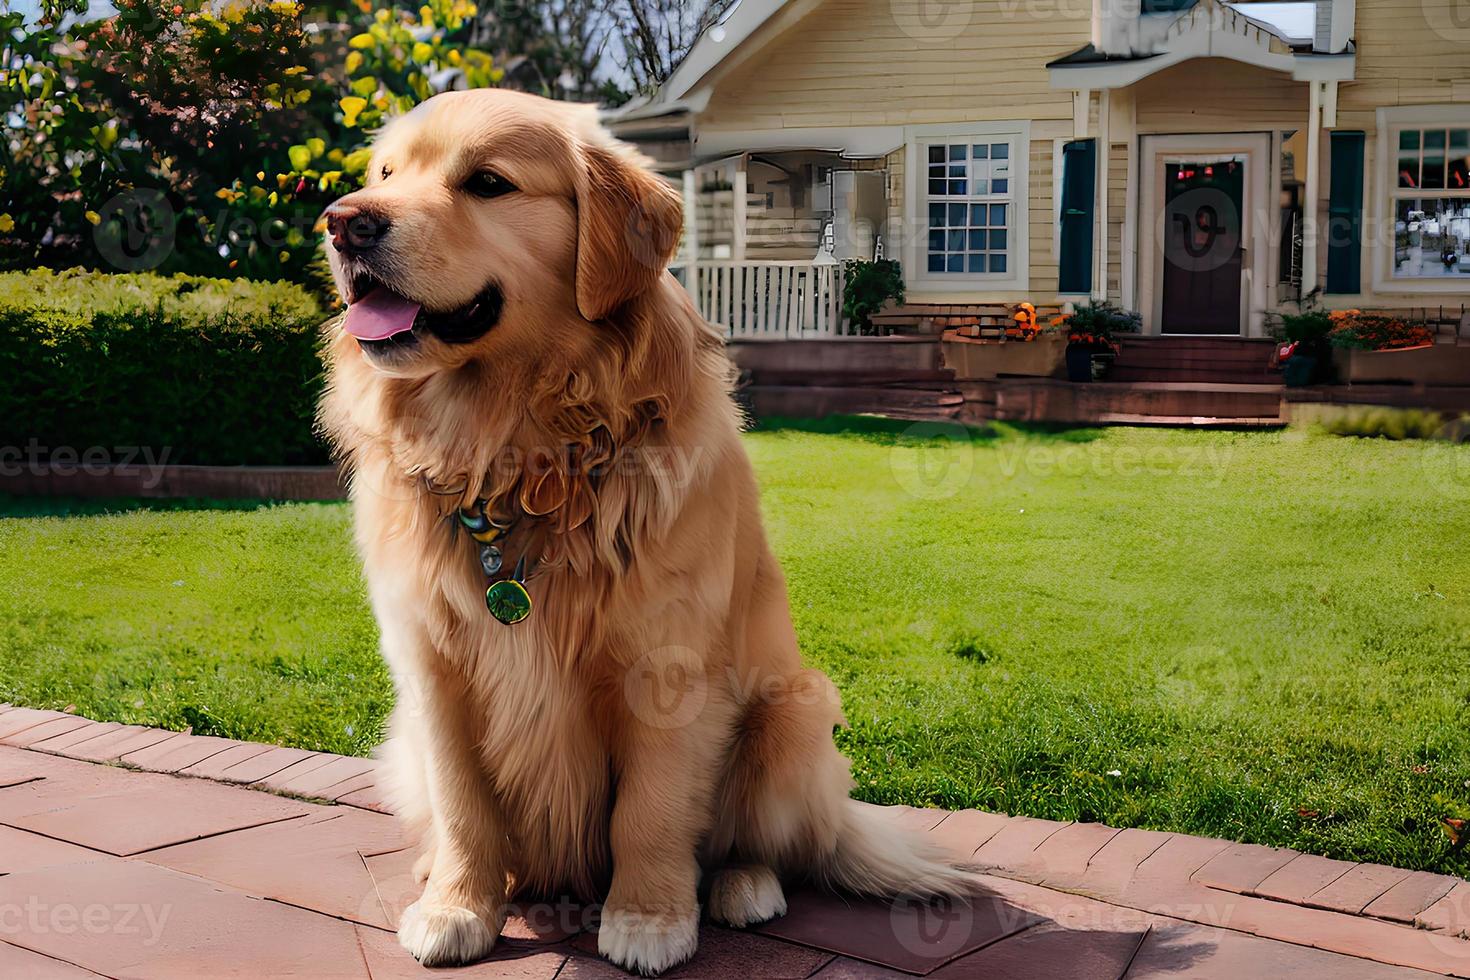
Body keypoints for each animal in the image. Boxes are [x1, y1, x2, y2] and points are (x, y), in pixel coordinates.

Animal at [318, 89, 964, 975]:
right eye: (384, 175)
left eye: (487, 182)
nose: (343, 224)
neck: (520, 454)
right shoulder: (432, 670)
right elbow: (464, 806)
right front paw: (456, 907)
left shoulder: (667, 668)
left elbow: (650, 814)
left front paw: (650, 919)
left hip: (792, 712)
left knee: (762, 846)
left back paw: (744, 888)